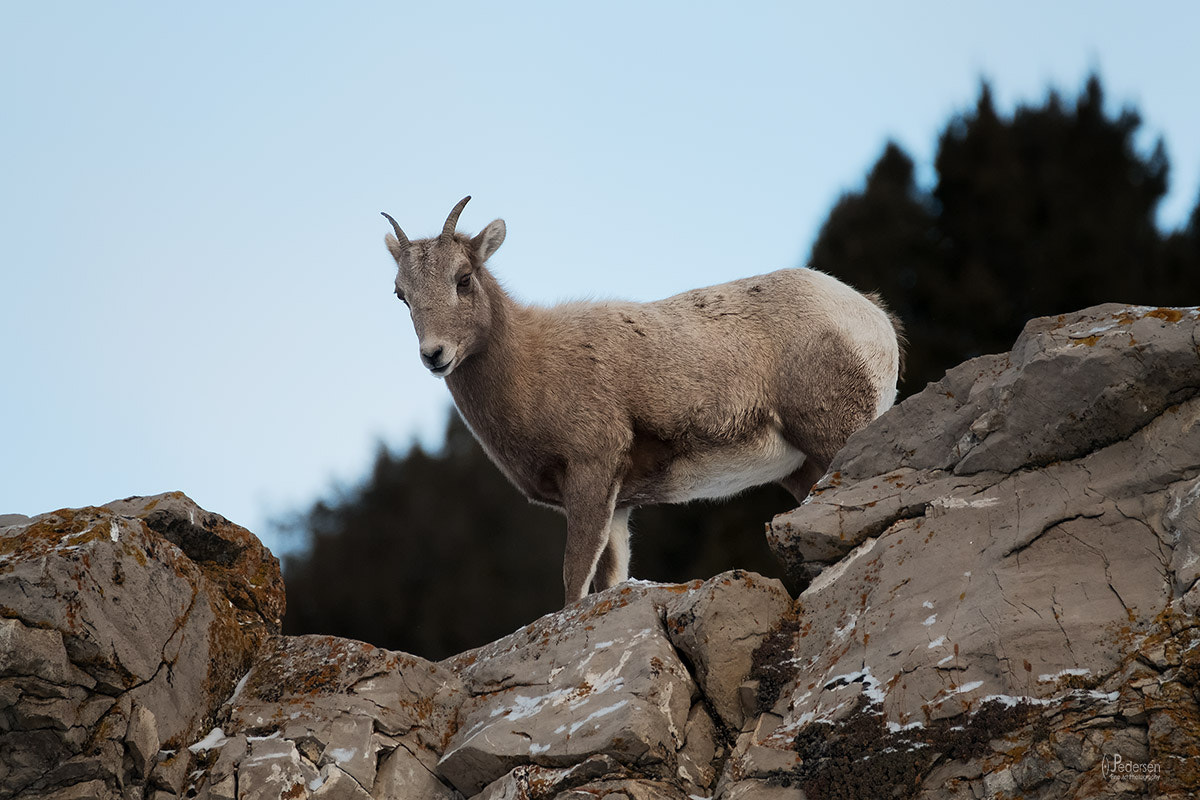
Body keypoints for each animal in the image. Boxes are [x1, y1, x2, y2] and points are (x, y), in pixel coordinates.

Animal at [381, 196, 902, 604]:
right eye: (402, 295)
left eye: (463, 278)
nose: (434, 355)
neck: (533, 365)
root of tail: (875, 319)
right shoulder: (619, 505)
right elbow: (609, 580)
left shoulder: (591, 475)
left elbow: (575, 582)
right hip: (801, 470)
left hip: (834, 435)